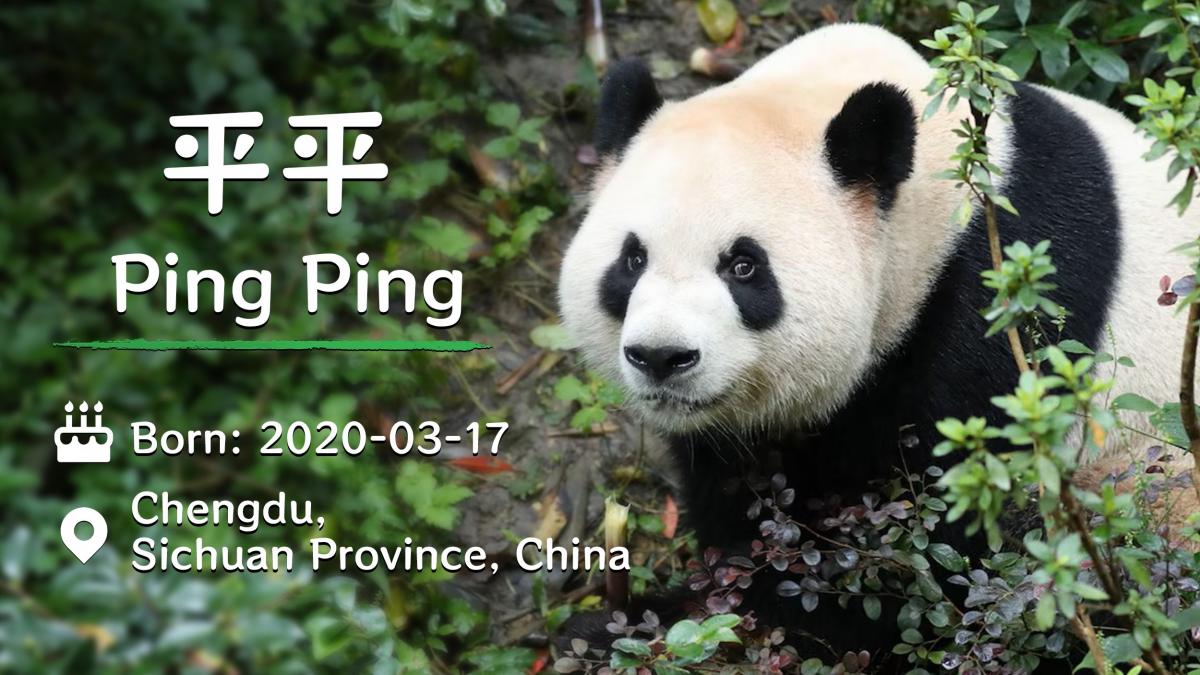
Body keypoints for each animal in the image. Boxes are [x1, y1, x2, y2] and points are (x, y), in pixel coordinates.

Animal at [558, 22, 1196, 668]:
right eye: (632, 260)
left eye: (743, 266)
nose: (661, 357)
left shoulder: (1002, 316)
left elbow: (932, 558)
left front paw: (655, 624)